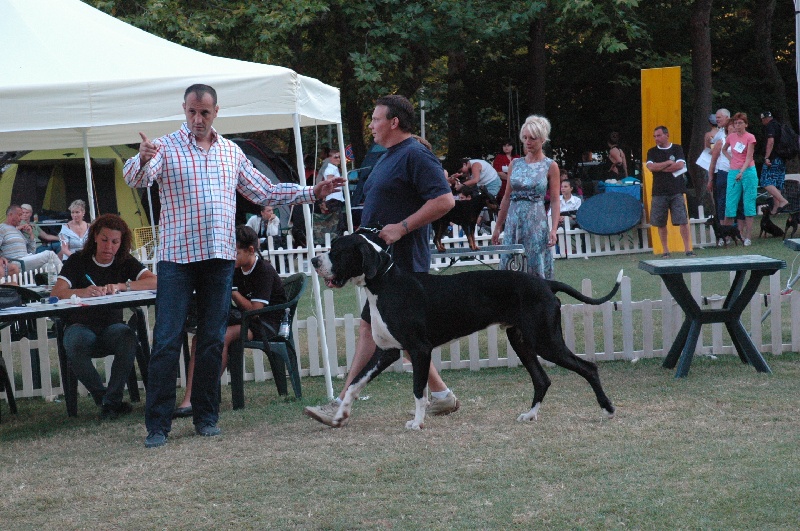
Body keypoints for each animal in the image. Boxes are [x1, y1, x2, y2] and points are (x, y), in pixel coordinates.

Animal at [310, 233, 620, 432]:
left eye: (337, 251)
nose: (313, 261)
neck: (384, 284)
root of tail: (546, 283)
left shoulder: (419, 350)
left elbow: (418, 390)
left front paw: (417, 423)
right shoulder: (386, 352)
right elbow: (355, 383)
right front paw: (340, 415)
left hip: (546, 341)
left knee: (588, 367)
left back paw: (607, 409)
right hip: (521, 340)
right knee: (542, 379)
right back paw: (530, 415)